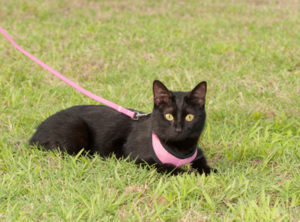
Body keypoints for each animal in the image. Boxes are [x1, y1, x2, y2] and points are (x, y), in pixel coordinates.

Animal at [29, 80, 216, 175]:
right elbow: (170, 168)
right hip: (75, 128)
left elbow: (203, 164)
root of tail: (34, 134)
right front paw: (191, 173)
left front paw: (210, 170)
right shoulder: (138, 158)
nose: (178, 129)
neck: (180, 149)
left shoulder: (197, 154)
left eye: (189, 117)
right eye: (169, 116)